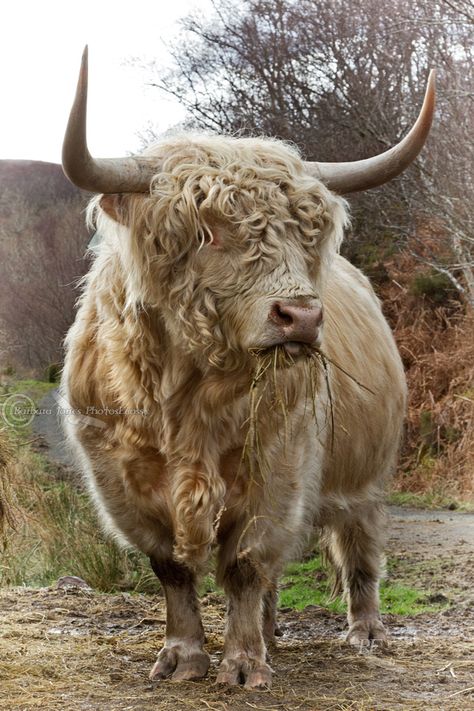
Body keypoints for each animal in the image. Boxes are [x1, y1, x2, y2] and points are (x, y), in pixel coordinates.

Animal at [61, 48, 436, 688]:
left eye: (306, 234)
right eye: (206, 231)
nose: (301, 316)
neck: (185, 401)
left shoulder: (278, 470)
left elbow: (244, 563)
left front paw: (241, 665)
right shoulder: (120, 481)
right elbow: (171, 568)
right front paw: (184, 656)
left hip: (366, 475)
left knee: (358, 551)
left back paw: (364, 631)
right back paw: (272, 629)